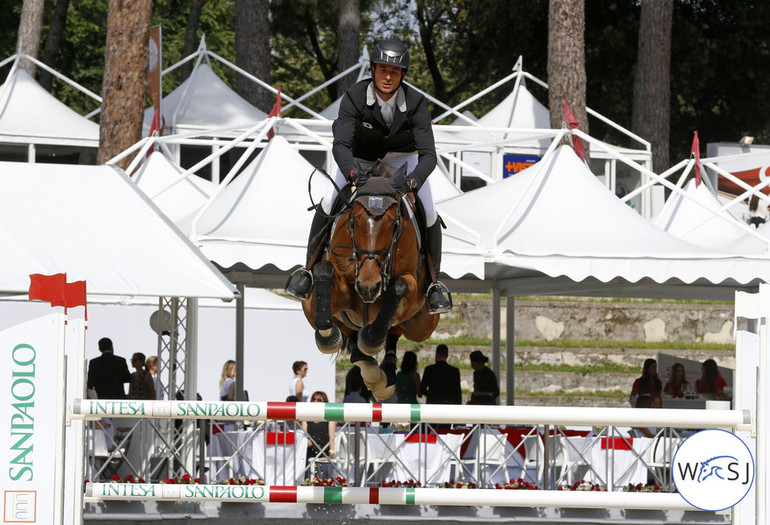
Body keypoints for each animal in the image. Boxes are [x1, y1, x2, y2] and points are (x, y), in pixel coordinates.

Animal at [304, 166, 440, 400]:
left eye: (394, 223)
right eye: (353, 220)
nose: (369, 286)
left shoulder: (411, 289)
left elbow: (398, 287)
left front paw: (371, 339)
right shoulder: (342, 291)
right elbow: (325, 271)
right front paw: (327, 335)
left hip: (422, 326)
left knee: (392, 334)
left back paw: (382, 378)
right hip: (312, 308)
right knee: (354, 346)